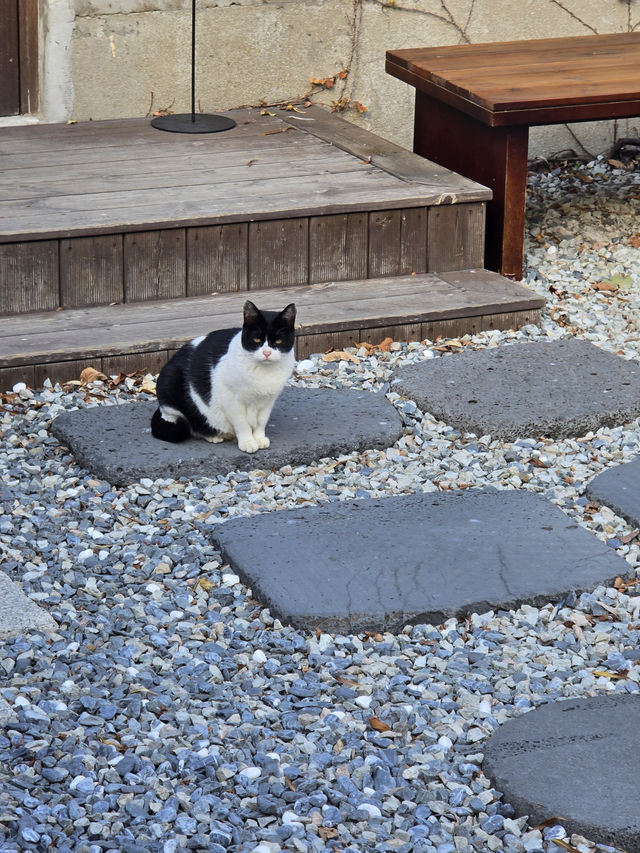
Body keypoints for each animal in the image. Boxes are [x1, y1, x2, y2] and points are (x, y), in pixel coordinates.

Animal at [151, 302, 296, 456]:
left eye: (278, 341)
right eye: (257, 339)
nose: (267, 352)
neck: (264, 373)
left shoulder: (269, 400)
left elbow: (261, 421)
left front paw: (259, 438)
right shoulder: (230, 398)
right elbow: (242, 423)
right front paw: (247, 441)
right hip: (169, 384)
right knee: (189, 423)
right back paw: (214, 435)